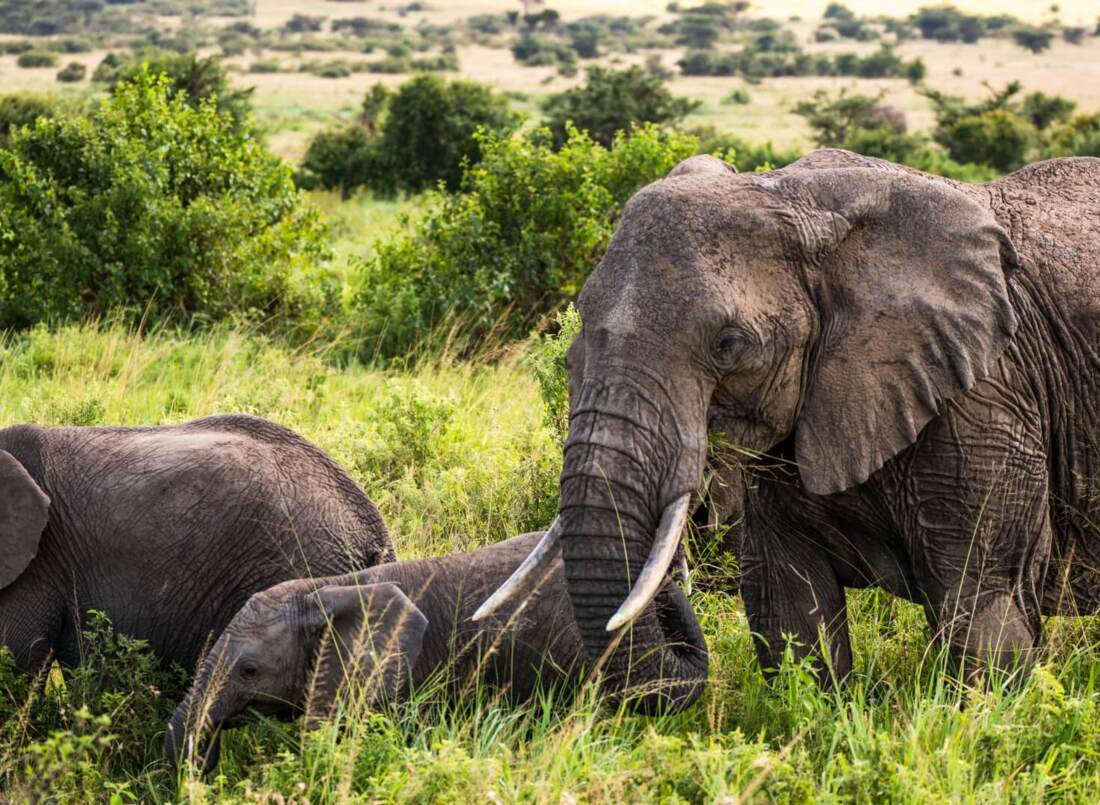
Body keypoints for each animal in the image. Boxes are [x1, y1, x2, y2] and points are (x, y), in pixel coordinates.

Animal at [476, 149, 1100, 706]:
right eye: (575, 335)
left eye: (728, 345)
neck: (800, 197)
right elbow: (791, 604)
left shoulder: (986, 396)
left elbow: (984, 600)